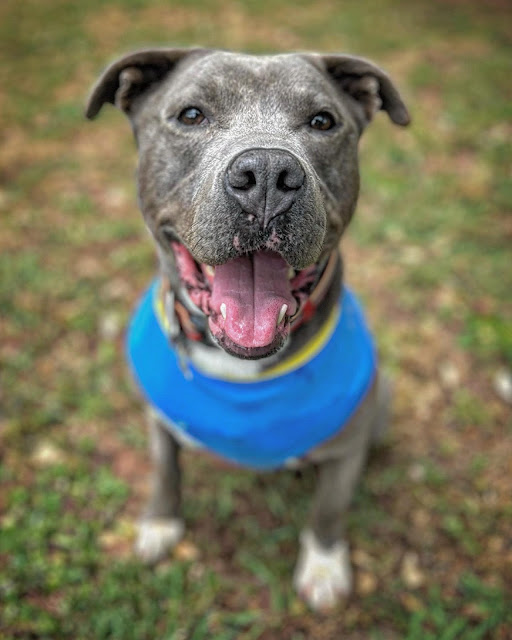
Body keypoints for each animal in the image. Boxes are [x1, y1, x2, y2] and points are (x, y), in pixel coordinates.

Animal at [86, 48, 409, 611]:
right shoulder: (157, 419)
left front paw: (324, 565)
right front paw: (160, 523)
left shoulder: (346, 450)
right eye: (191, 115)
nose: (267, 173)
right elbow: (165, 470)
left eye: (322, 121)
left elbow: (329, 508)